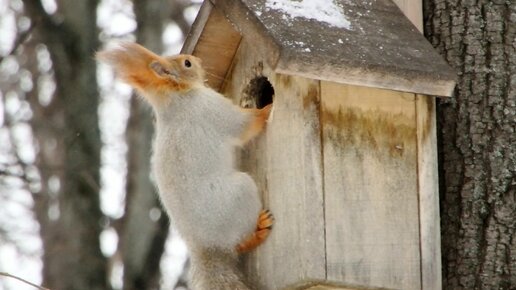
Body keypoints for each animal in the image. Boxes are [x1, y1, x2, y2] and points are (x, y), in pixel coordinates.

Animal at [97, 42, 274, 288]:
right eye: (187, 63)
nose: (198, 60)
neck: (175, 97)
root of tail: (205, 247)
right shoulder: (210, 108)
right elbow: (246, 124)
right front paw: (268, 107)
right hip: (241, 193)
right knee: (240, 243)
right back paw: (259, 229)